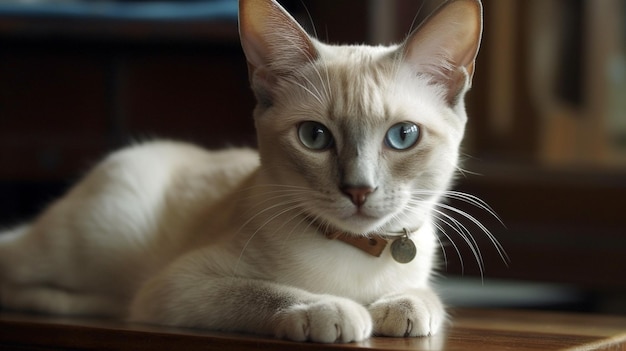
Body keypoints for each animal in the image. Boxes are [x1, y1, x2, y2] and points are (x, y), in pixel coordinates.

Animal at [0, 0, 482, 344]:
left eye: (403, 136)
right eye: (314, 137)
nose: (359, 190)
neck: (357, 252)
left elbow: (426, 299)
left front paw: (401, 310)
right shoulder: (180, 286)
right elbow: (262, 291)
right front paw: (333, 310)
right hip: (91, 245)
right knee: (20, 266)